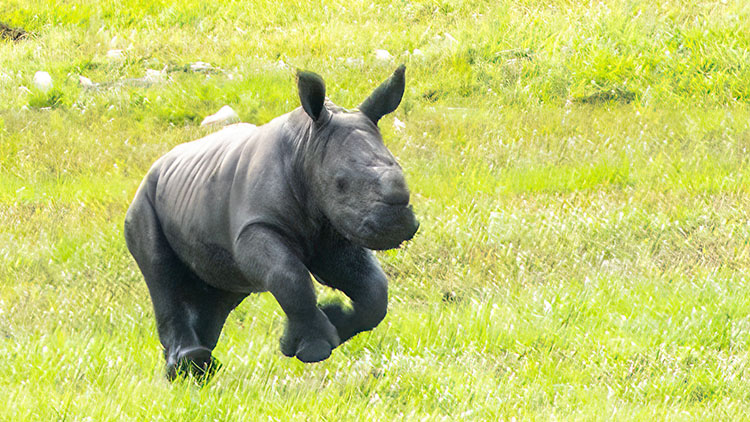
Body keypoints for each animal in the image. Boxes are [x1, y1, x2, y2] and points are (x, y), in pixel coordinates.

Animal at [124, 65, 418, 381]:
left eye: (400, 168)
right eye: (340, 183)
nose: (397, 224)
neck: (306, 145)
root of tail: (156, 164)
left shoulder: (332, 234)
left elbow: (374, 288)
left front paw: (330, 321)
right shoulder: (256, 227)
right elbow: (288, 276)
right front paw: (313, 350)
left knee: (219, 287)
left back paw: (196, 370)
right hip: (143, 203)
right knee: (160, 270)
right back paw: (188, 365)